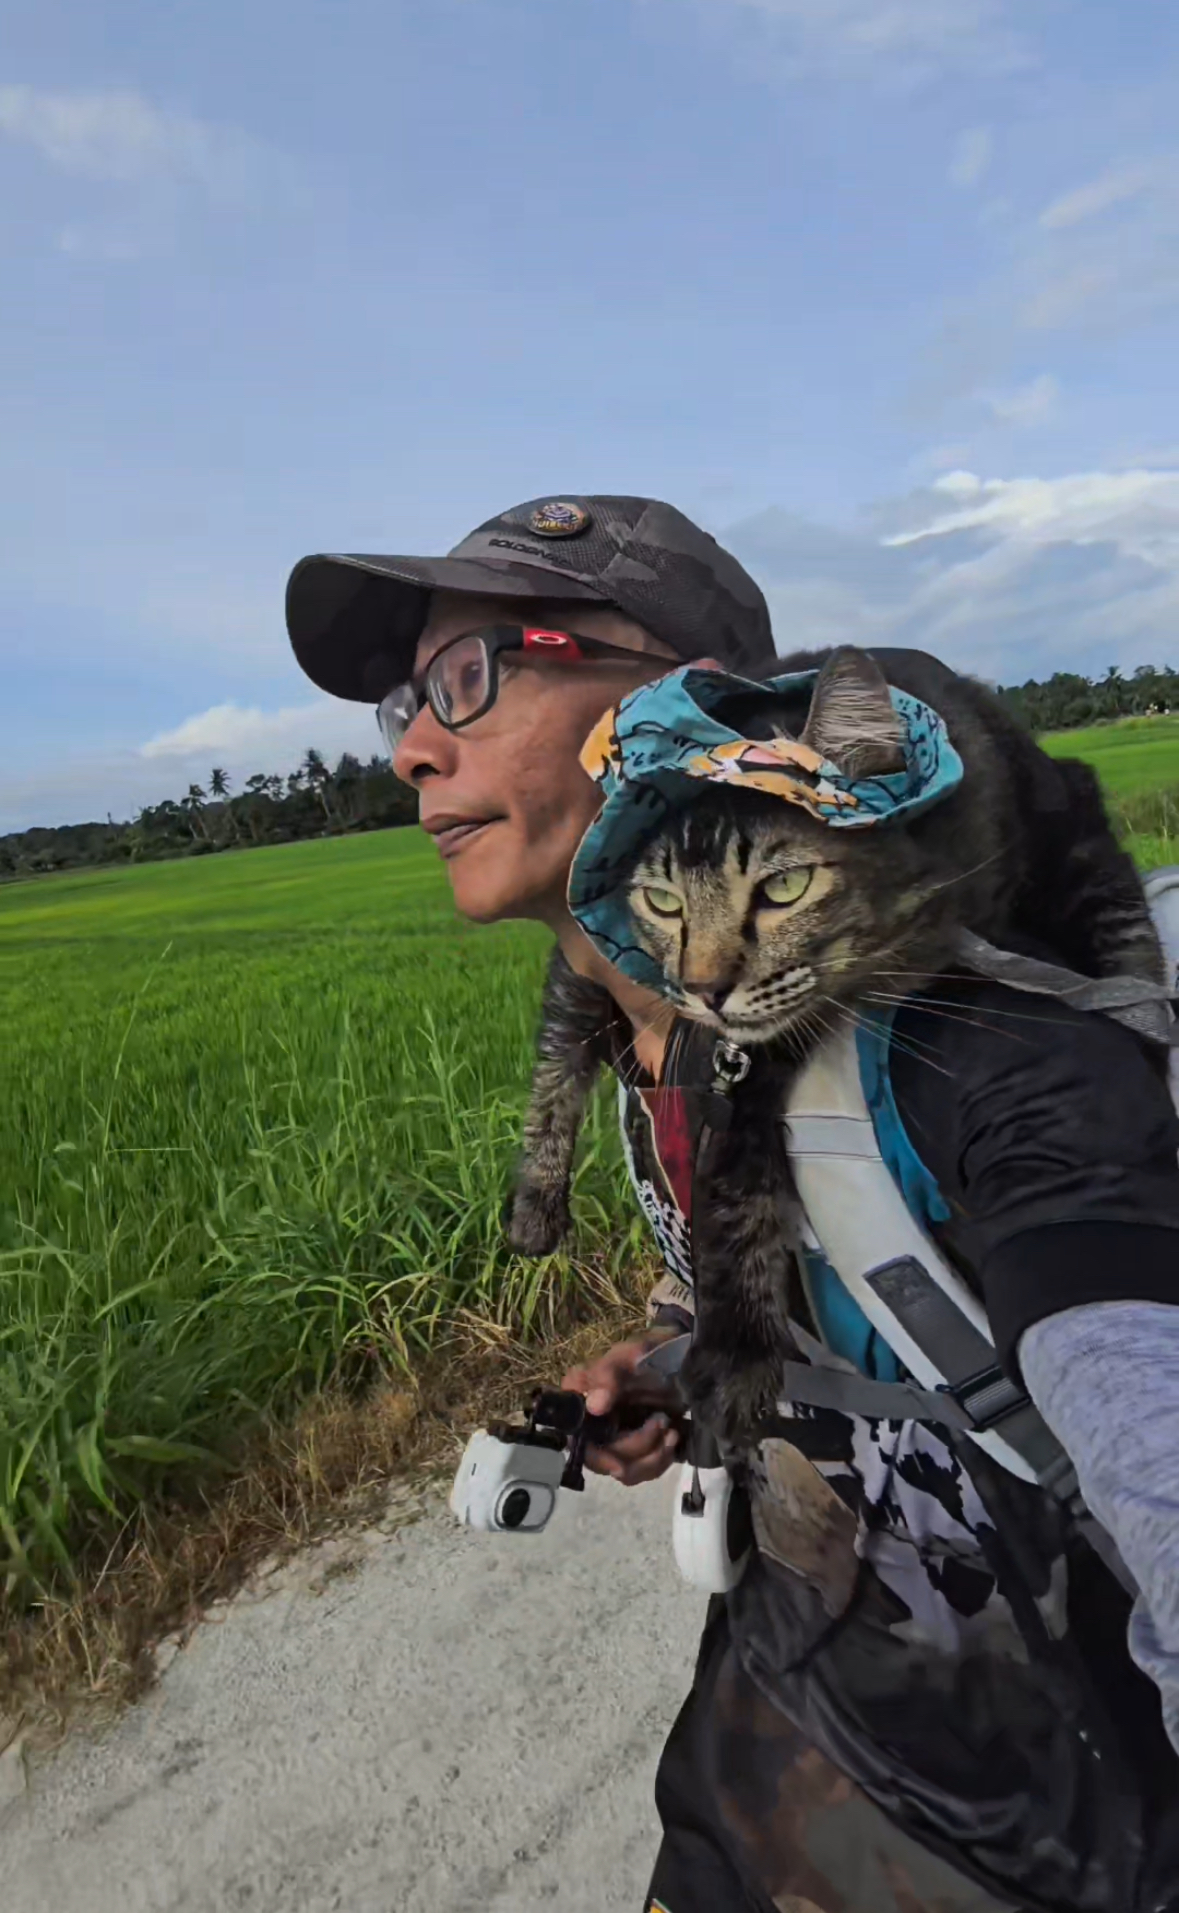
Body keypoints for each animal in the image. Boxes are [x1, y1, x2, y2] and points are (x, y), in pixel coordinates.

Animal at [505, 650, 1163, 1438]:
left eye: (785, 886)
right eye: (663, 902)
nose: (702, 988)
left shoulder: (1067, 812)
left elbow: (1129, 951)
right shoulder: (737, 1050)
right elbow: (730, 1179)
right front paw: (736, 1351)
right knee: (558, 1048)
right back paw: (535, 1207)